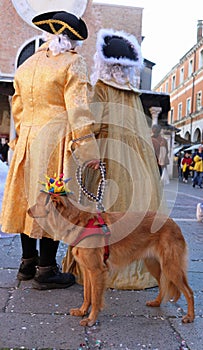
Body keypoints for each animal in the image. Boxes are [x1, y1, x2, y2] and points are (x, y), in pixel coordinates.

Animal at [28, 193, 195, 326]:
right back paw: (157, 302)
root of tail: (174, 223)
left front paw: (91, 319)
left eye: (38, 202)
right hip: (153, 265)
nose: (28, 210)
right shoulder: (87, 271)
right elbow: (87, 295)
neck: (78, 222)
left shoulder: (97, 271)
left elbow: (95, 298)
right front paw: (82, 311)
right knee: (162, 285)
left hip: (171, 267)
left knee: (189, 291)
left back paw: (190, 316)